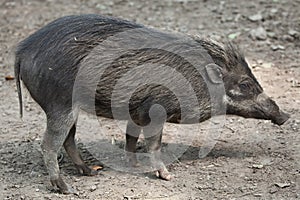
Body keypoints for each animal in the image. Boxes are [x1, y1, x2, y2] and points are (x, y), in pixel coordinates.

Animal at [15, 14, 290, 195]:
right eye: (245, 84)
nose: (285, 116)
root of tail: (22, 51)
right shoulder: (156, 110)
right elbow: (153, 144)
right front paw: (166, 176)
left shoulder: (136, 111)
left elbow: (131, 137)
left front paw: (134, 165)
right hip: (59, 104)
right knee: (49, 144)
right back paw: (66, 188)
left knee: (69, 139)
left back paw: (91, 171)